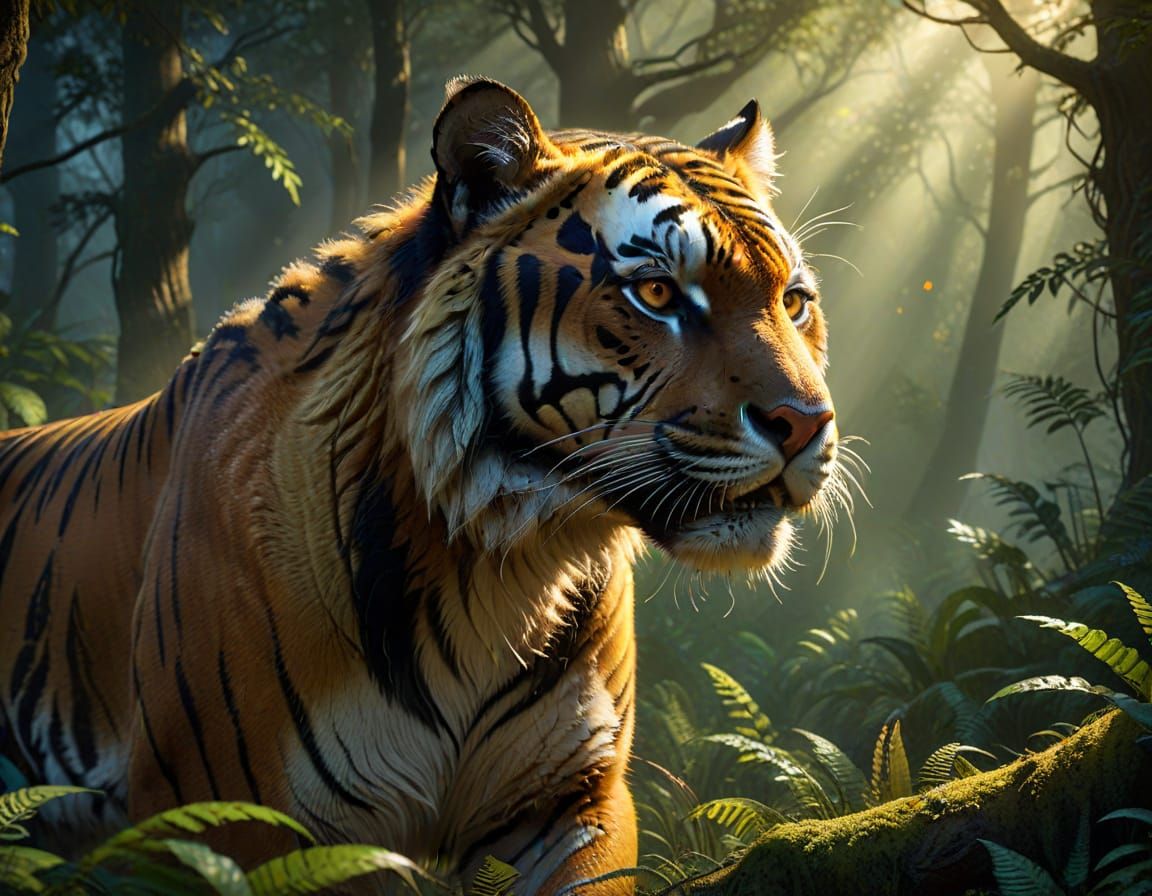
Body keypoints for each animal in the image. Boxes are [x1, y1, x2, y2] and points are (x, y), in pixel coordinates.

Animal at [0, 77, 844, 892]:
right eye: (660, 294)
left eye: (793, 301)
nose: (806, 422)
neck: (496, 572)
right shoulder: (234, 822)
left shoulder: (572, 802)